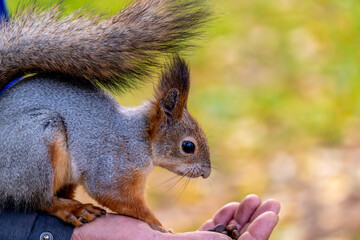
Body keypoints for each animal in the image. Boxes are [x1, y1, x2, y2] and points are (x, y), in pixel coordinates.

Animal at [0, 0, 211, 233]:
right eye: (188, 146)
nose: (207, 172)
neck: (142, 139)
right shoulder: (113, 164)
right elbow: (114, 195)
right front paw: (159, 225)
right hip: (35, 149)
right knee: (39, 200)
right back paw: (74, 210)